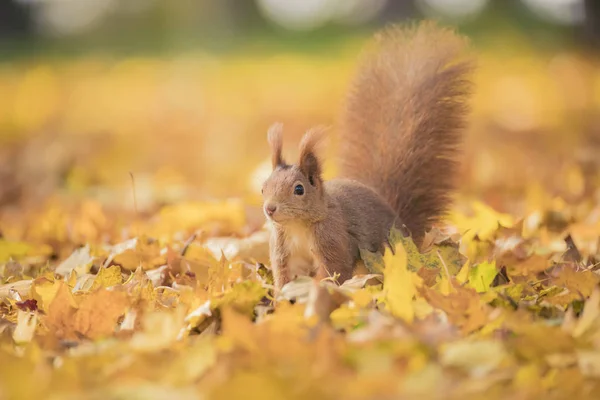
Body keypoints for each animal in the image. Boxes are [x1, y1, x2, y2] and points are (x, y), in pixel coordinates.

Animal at [260, 21, 476, 290]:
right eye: (263, 187)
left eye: (299, 189)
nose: (270, 209)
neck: (297, 227)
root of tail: (403, 226)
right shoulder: (282, 248)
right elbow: (283, 275)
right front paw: (280, 294)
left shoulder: (334, 240)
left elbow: (335, 271)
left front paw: (321, 290)